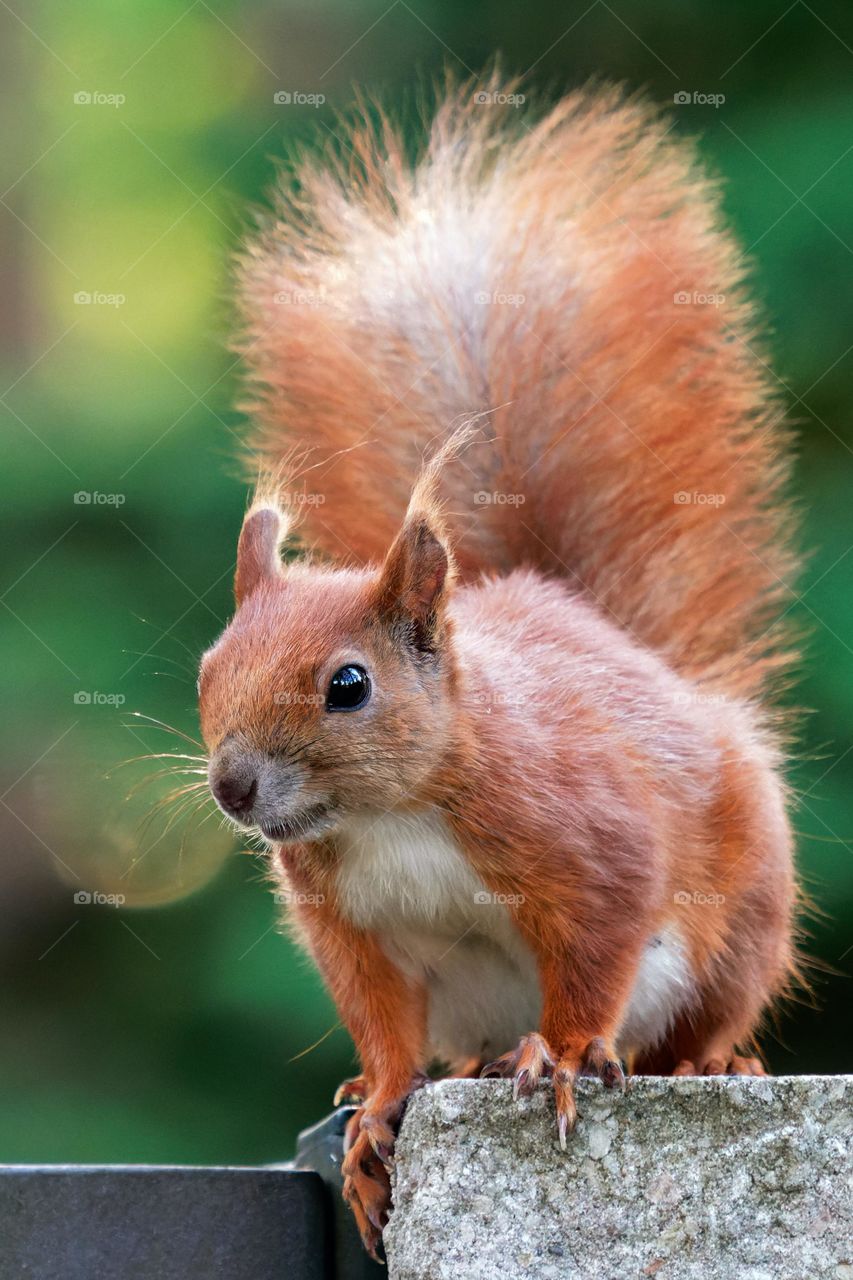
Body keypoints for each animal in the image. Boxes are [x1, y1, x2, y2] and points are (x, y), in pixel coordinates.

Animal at [197, 80, 801, 1257]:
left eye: (348, 684)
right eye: (207, 669)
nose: (233, 787)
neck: (389, 814)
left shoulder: (587, 835)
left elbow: (599, 944)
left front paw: (563, 1052)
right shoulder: (350, 926)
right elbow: (383, 1027)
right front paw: (379, 1108)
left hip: (745, 907)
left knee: (703, 1010)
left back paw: (706, 1057)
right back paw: (468, 1064)